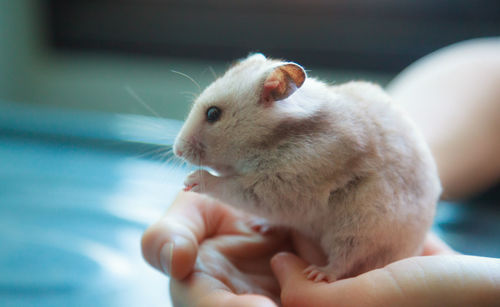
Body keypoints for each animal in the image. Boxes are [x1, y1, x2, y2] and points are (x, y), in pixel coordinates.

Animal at [174, 54, 440, 282]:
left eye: (213, 113)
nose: (176, 150)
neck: (273, 140)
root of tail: (412, 249)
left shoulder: (283, 186)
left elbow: (234, 187)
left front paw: (192, 180)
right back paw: (261, 226)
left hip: (359, 230)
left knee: (346, 261)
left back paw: (318, 273)